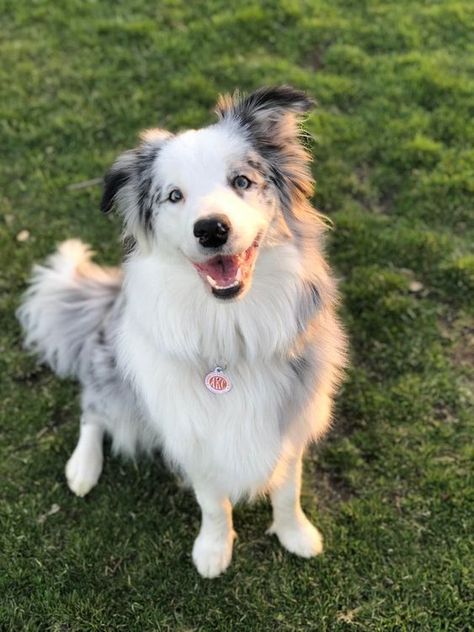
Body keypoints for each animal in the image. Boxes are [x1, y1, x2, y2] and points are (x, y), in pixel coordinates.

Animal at [17, 87, 348, 576]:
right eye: (174, 196)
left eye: (241, 181)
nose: (211, 229)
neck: (230, 328)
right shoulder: (192, 431)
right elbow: (213, 503)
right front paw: (213, 549)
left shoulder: (292, 418)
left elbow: (289, 489)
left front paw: (296, 533)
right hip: (111, 369)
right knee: (93, 408)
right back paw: (82, 468)